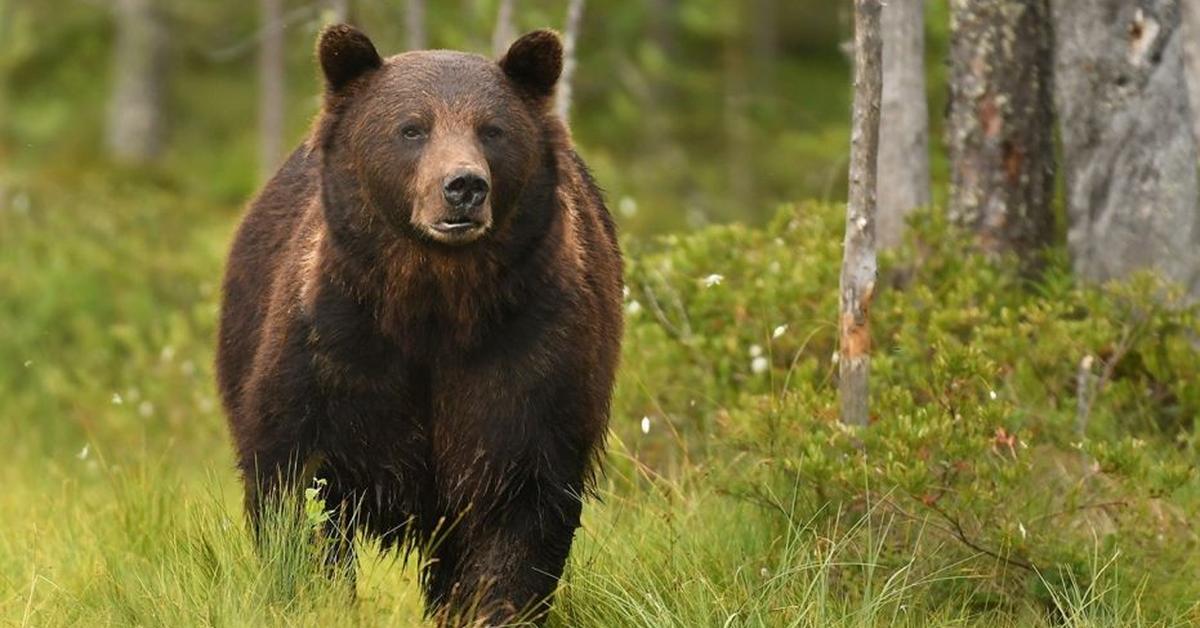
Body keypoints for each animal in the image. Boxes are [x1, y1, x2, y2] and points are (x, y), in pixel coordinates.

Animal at [216, 23, 624, 624]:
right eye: (411, 128)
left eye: (493, 129)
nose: (464, 186)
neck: (433, 304)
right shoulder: (334, 347)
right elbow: (297, 484)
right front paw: (319, 595)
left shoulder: (529, 349)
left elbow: (520, 501)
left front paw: (491, 606)